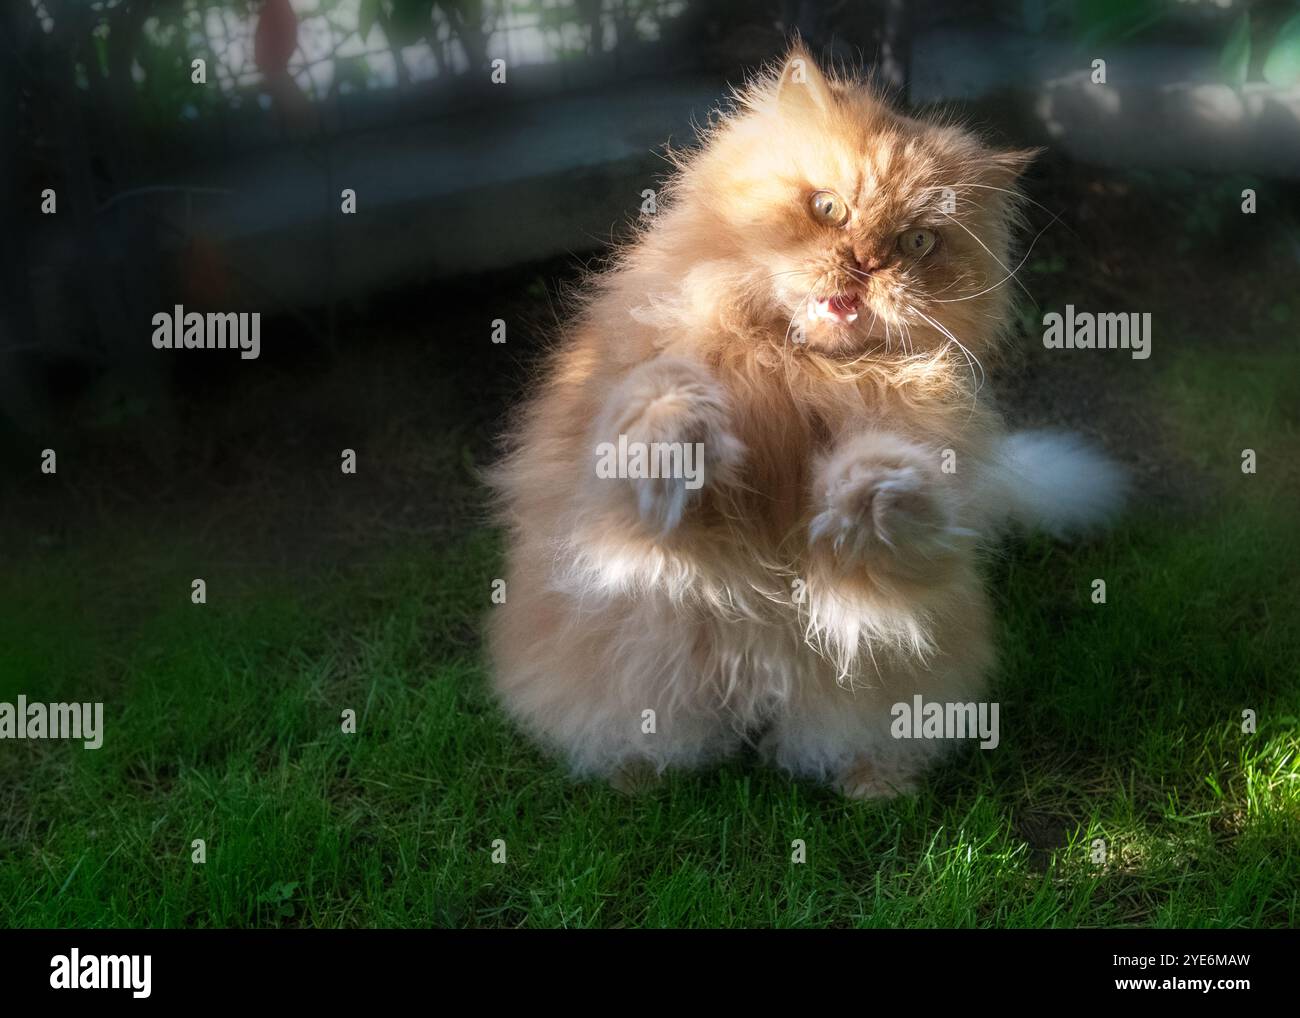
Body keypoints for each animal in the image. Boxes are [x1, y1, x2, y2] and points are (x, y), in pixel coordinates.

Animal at [488, 45, 1128, 795]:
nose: (866, 262)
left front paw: (875, 487)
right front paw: (684, 426)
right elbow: (656, 421)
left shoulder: (907, 538)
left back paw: (874, 785)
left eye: (917, 242)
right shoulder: (638, 518)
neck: (800, 372)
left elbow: (884, 506)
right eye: (828, 207)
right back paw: (639, 776)